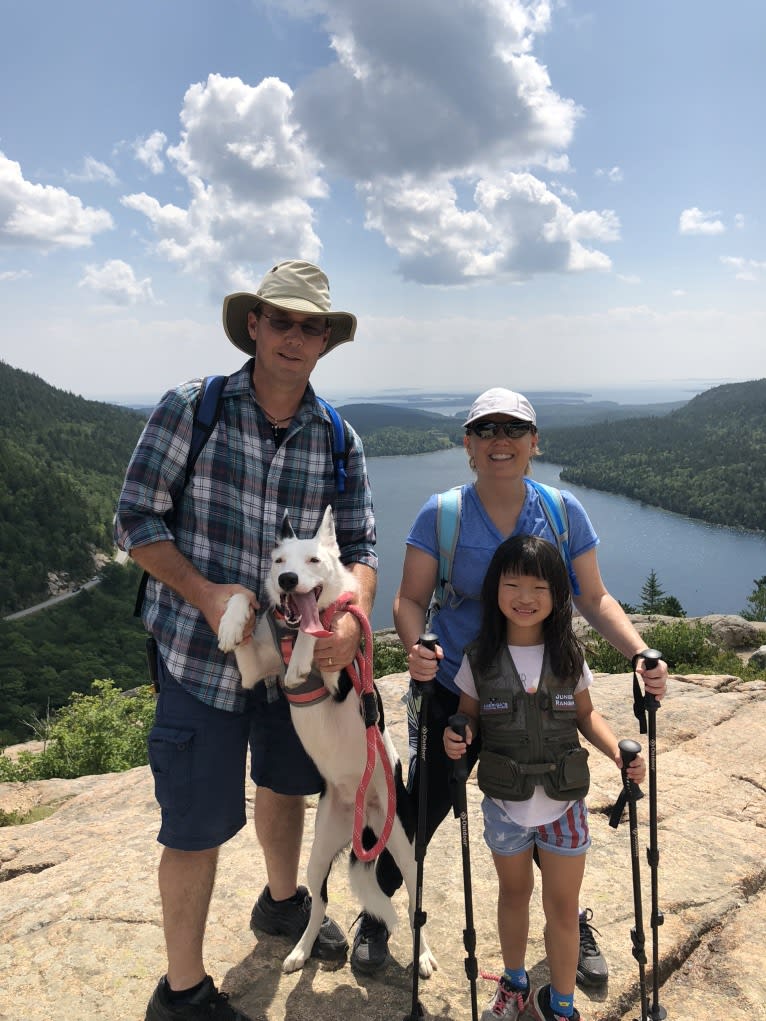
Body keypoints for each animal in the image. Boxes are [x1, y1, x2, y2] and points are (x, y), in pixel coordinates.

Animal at [216, 506, 437, 976]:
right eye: (279, 562)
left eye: (314, 561)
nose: (287, 581)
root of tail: (364, 815)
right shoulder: (252, 672)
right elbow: (244, 598)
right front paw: (230, 622)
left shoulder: (340, 670)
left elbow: (319, 629)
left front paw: (304, 654)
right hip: (318, 854)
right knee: (318, 905)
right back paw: (301, 949)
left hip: (405, 849)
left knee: (415, 908)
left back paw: (424, 955)